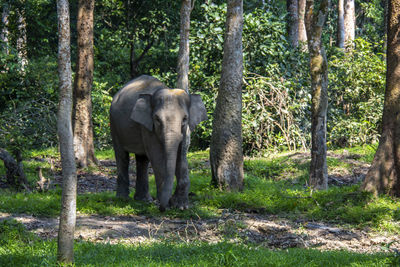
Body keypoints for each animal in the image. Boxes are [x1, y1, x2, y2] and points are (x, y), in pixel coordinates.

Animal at [110, 75, 208, 211]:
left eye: (185, 119)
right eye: (157, 119)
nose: (163, 207)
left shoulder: (185, 130)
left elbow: (181, 156)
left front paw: (181, 206)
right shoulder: (147, 126)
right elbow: (157, 157)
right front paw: (167, 206)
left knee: (142, 160)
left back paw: (143, 200)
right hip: (114, 125)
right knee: (122, 156)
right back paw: (122, 199)